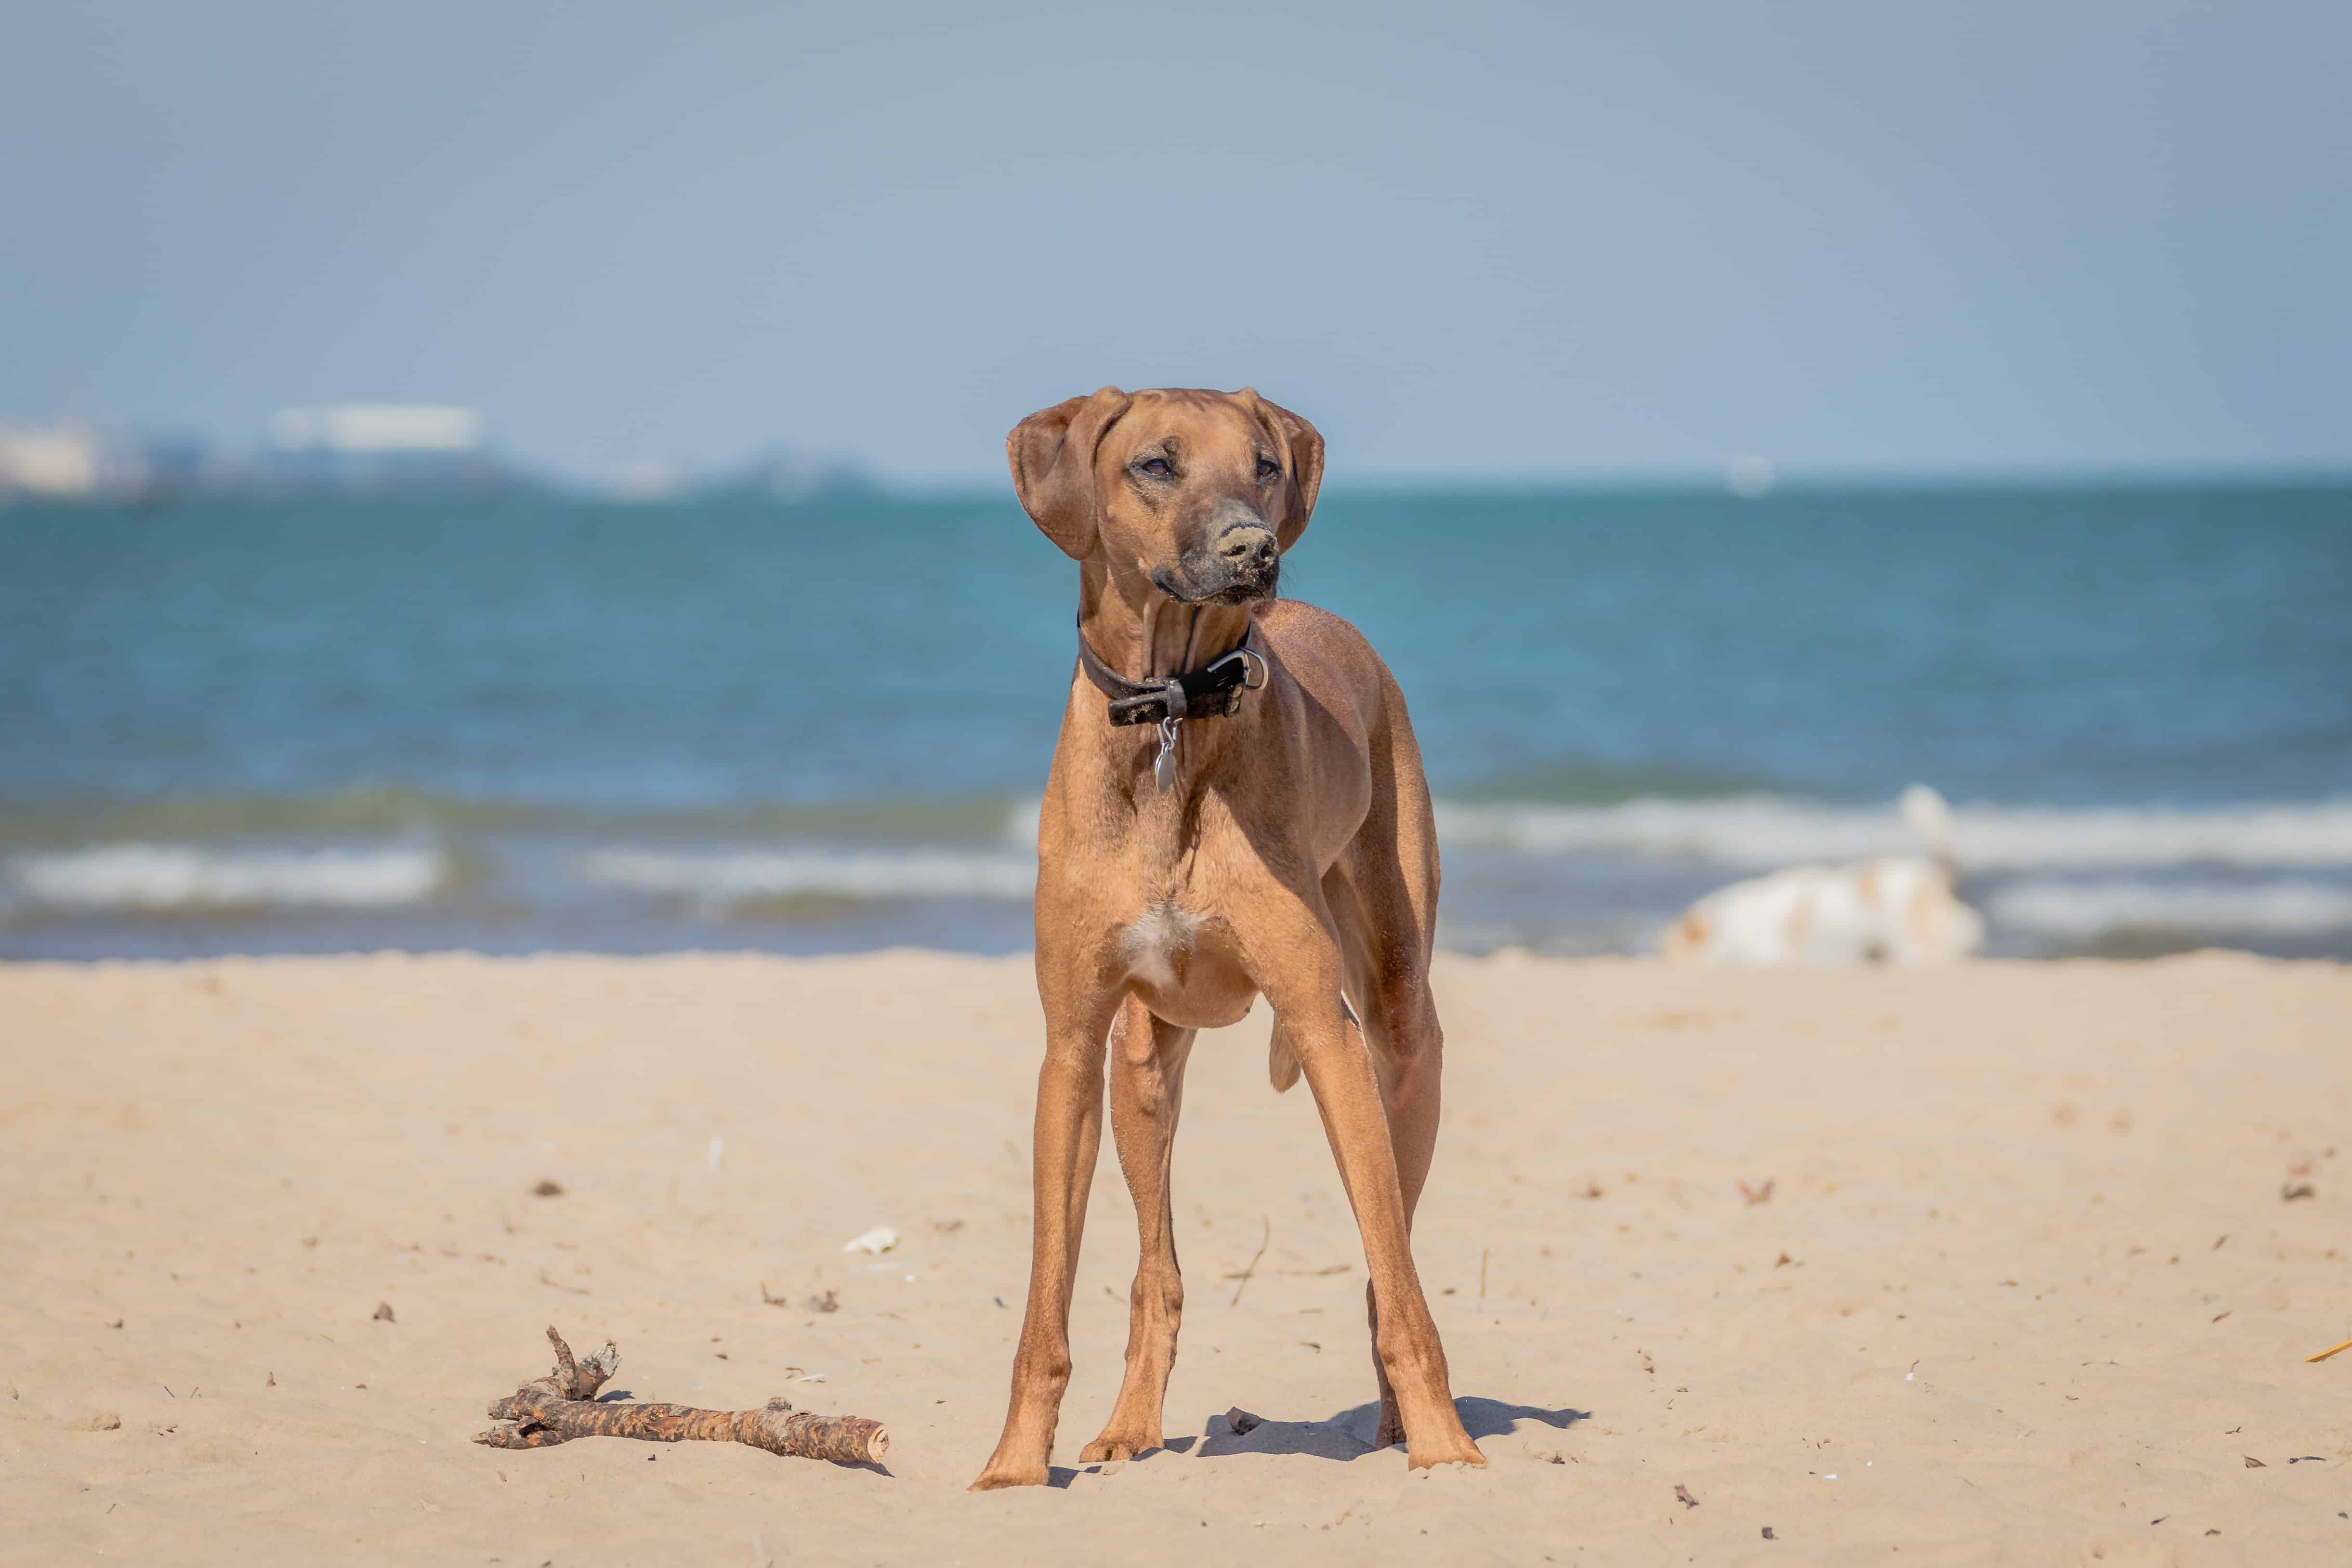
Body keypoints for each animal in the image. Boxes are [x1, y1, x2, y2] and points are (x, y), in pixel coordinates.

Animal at [964, 385, 1477, 1495]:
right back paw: (1130, 1424)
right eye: (1156, 464)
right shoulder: (1071, 1046)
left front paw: (1447, 1446)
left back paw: (1399, 1422)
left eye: (1263, 464)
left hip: (1400, 1032)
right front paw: (1016, 1465)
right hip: (1139, 1068)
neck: (1172, 712)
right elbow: (1046, 1303)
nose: (1254, 550)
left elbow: (1396, 1281)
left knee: (1390, 1259)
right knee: (1153, 1273)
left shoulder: (1325, 1032)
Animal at [1656, 785, 1985, 968]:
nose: (1660, 962)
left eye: (1668, 950)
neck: (1727, 927)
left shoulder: (1770, 955)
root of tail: (1938, 879)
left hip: (1913, 947)